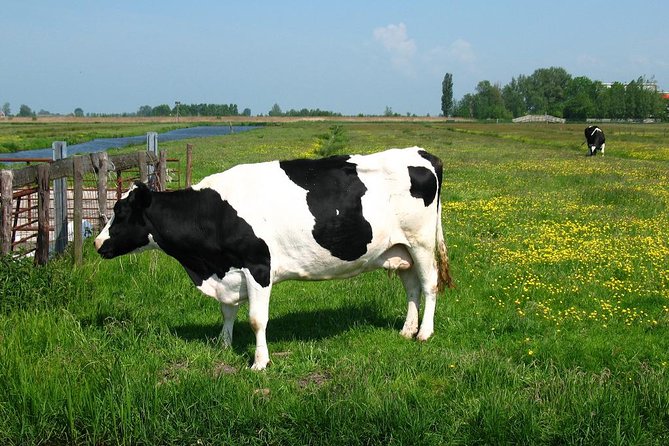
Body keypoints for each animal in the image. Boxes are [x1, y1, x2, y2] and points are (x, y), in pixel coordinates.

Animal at [94, 146, 452, 370]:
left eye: (121, 213)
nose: (98, 243)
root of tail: (423, 153)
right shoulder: (228, 271)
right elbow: (227, 312)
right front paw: (223, 345)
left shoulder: (258, 267)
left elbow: (256, 319)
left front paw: (259, 362)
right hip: (399, 248)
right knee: (411, 287)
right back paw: (407, 330)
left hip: (421, 242)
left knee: (429, 284)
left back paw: (424, 333)